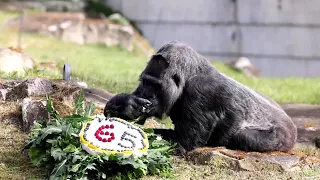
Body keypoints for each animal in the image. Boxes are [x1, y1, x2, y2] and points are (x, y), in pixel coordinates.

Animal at [105, 41, 298, 155]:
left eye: (156, 85)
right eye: (145, 82)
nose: (146, 94)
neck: (191, 74)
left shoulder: (202, 92)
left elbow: (182, 143)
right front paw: (123, 104)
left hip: (285, 137)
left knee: (244, 137)